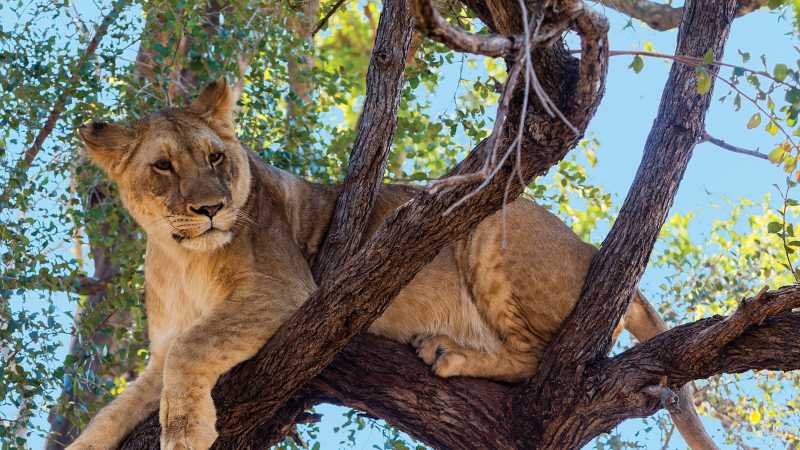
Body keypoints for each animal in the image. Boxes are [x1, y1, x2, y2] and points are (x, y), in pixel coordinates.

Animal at [67, 79, 713, 450]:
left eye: (215, 158)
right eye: (163, 167)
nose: (211, 208)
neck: (180, 256)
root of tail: (591, 249)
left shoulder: (286, 293)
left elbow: (193, 348)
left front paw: (186, 431)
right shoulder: (158, 353)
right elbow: (114, 409)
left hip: (488, 225)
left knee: (538, 360)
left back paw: (448, 352)